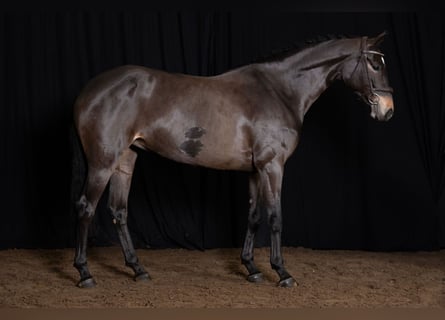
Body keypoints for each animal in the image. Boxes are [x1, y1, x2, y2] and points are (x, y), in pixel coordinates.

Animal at [72, 31, 392, 288]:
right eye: (375, 64)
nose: (387, 110)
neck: (279, 91)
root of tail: (89, 92)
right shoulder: (272, 166)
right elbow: (275, 217)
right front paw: (282, 272)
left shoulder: (254, 170)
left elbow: (253, 216)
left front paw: (252, 268)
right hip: (102, 163)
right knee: (86, 209)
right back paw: (85, 273)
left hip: (125, 161)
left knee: (118, 211)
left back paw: (138, 270)